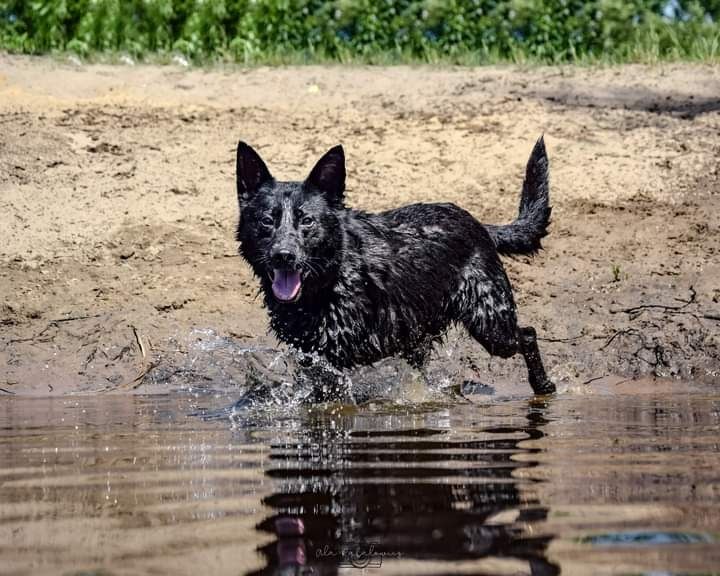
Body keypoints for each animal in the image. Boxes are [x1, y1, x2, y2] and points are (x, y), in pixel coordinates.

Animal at [233, 137, 556, 394]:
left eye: (307, 221)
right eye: (267, 220)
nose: (283, 255)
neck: (330, 280)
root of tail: (479, 224)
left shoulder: (334, 360)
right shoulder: (311, 356)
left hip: (491, 324)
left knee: (527, 334)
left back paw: (543, 385)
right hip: (421, 335)